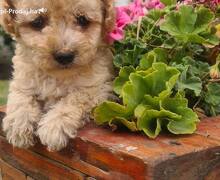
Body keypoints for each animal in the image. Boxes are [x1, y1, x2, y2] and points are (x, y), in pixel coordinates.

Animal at [0, 0, 116, 151]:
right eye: (37, 22)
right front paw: (18, 125)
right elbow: (20, 97)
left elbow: (74, 98)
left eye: (83, 20)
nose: (64, 56)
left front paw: (54, 127)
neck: (57, 75)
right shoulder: (22, 78)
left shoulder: (98, 87)